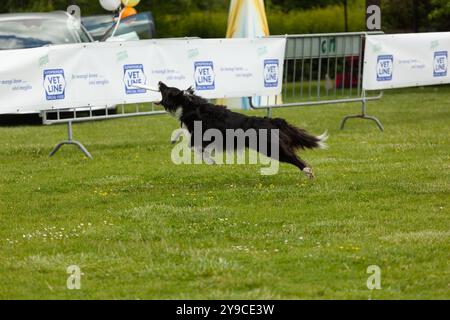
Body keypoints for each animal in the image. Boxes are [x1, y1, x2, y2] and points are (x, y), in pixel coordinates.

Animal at [157, 82, 326, 178]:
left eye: (167, 90)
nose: (160, 82)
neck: (190, 105)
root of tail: (270, 120)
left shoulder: (202, 136)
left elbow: (195, 148)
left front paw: (211, 161)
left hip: (272, 149)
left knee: (295, 158)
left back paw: (308, 172)